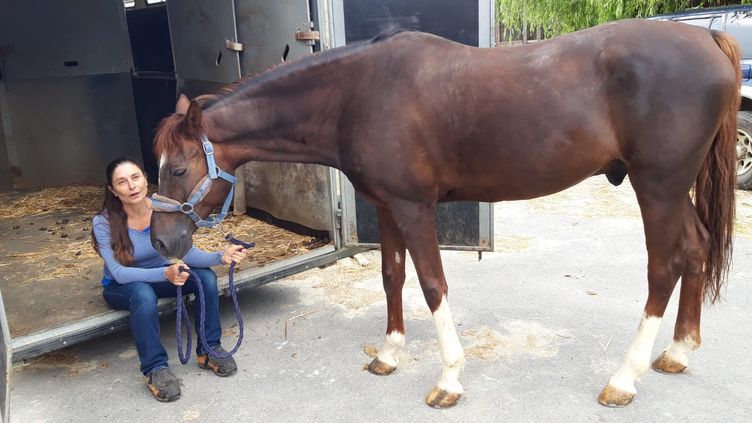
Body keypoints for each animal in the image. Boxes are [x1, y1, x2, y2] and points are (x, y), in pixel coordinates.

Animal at [150, 19, 736, 408]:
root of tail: (706, 39)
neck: (358, 94)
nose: (158, 241)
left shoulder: (414, 208)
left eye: (176, 169)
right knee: (697, 247)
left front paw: (449, 378)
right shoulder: (386, 206)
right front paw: (389, 354)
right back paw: (679, 351)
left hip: (657, 187)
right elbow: (392, 275)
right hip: (670, 190)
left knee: (664, 267)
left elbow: (433, 283)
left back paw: (623, 378)